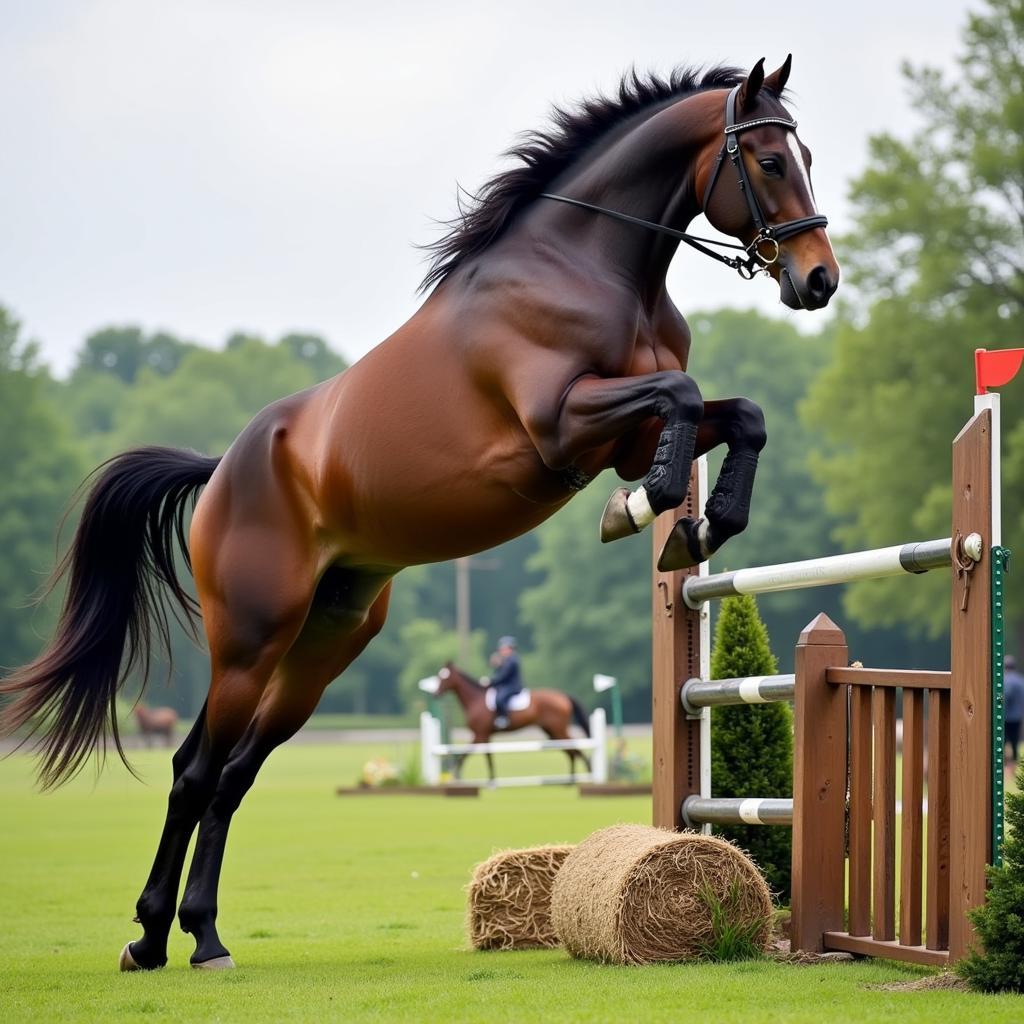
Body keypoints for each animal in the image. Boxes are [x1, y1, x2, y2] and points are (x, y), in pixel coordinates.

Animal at [430, 659, 593, 778]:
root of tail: (563, 696)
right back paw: (570, 780)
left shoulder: (480, 734)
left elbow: (466, 753)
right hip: (552, 732)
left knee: (573, 750)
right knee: (571, 751)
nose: (435, 694)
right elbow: (488, 757)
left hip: (558, 730)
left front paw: (456, 773)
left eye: (444, 676)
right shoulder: (485, 735)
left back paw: (584, 774)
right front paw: (491, 779)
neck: (475, 699)